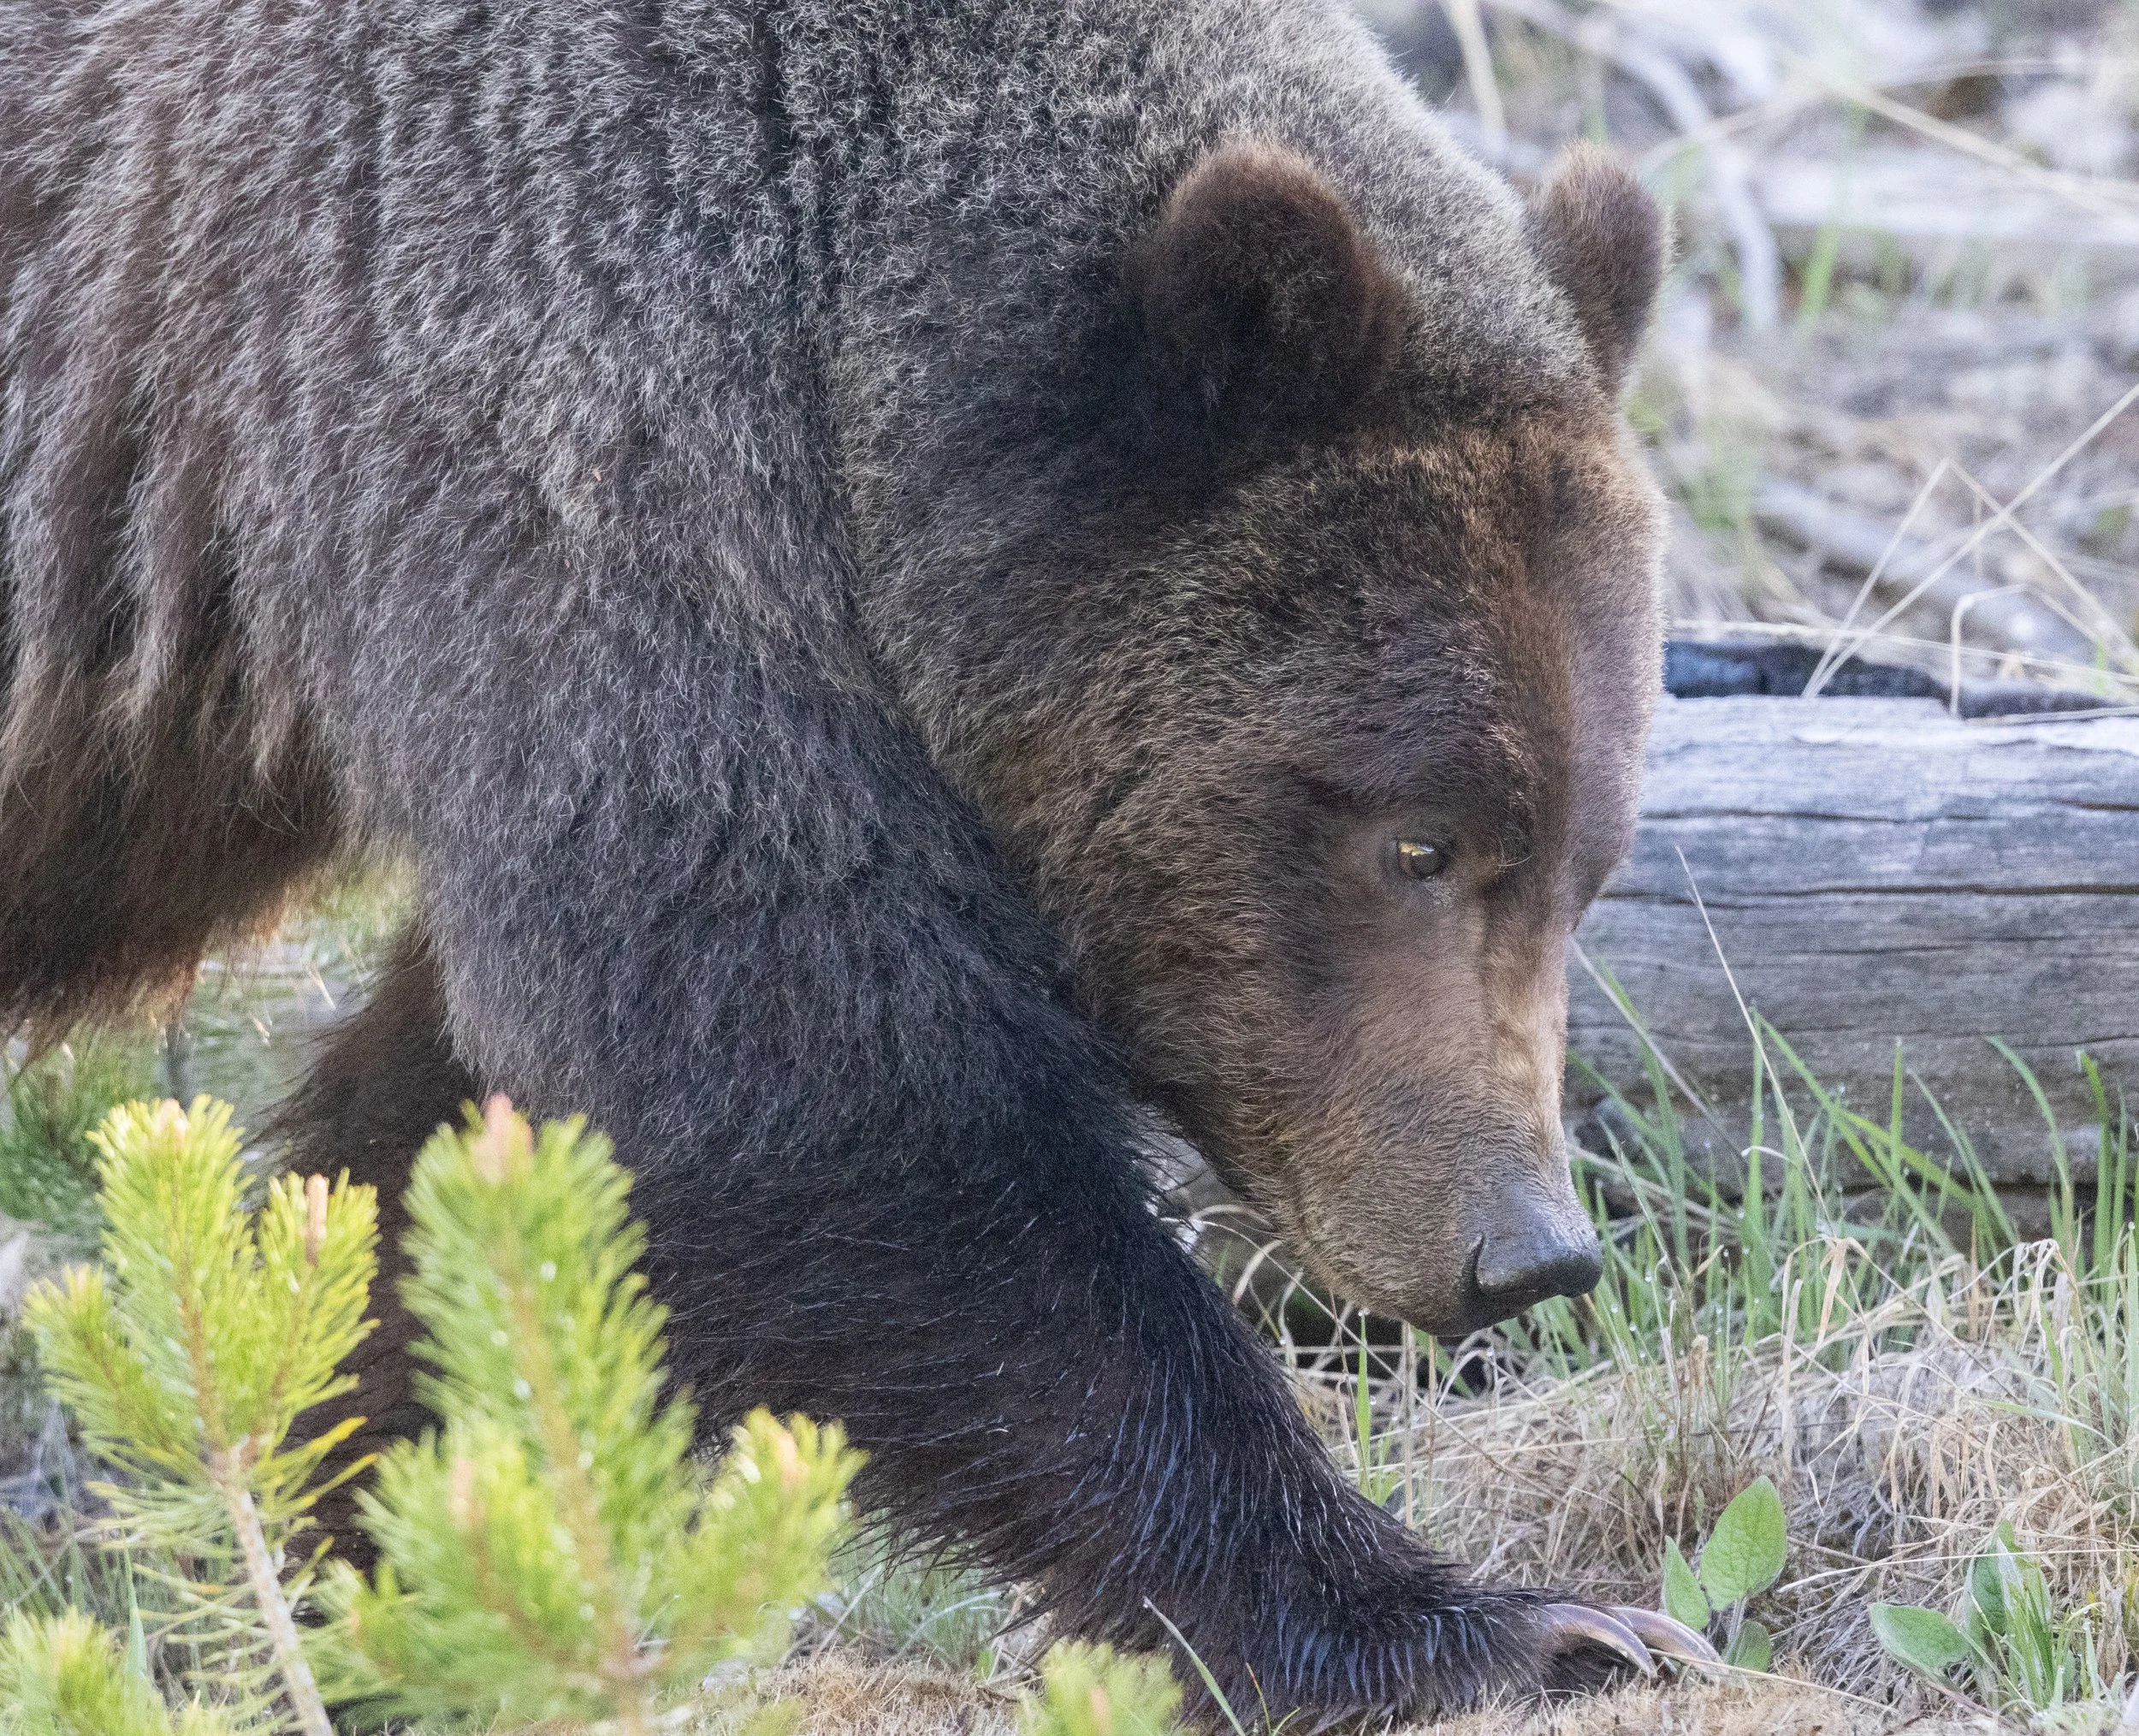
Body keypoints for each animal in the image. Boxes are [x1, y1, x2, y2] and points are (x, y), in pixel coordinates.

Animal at [0, 0, 1700, 1719]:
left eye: (1585, 867)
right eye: (1416, 840)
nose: (1527, 1249)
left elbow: (456, 1139)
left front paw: (388, 1559)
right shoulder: (529, 412)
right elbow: (800, 1084)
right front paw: (1497, 1618)